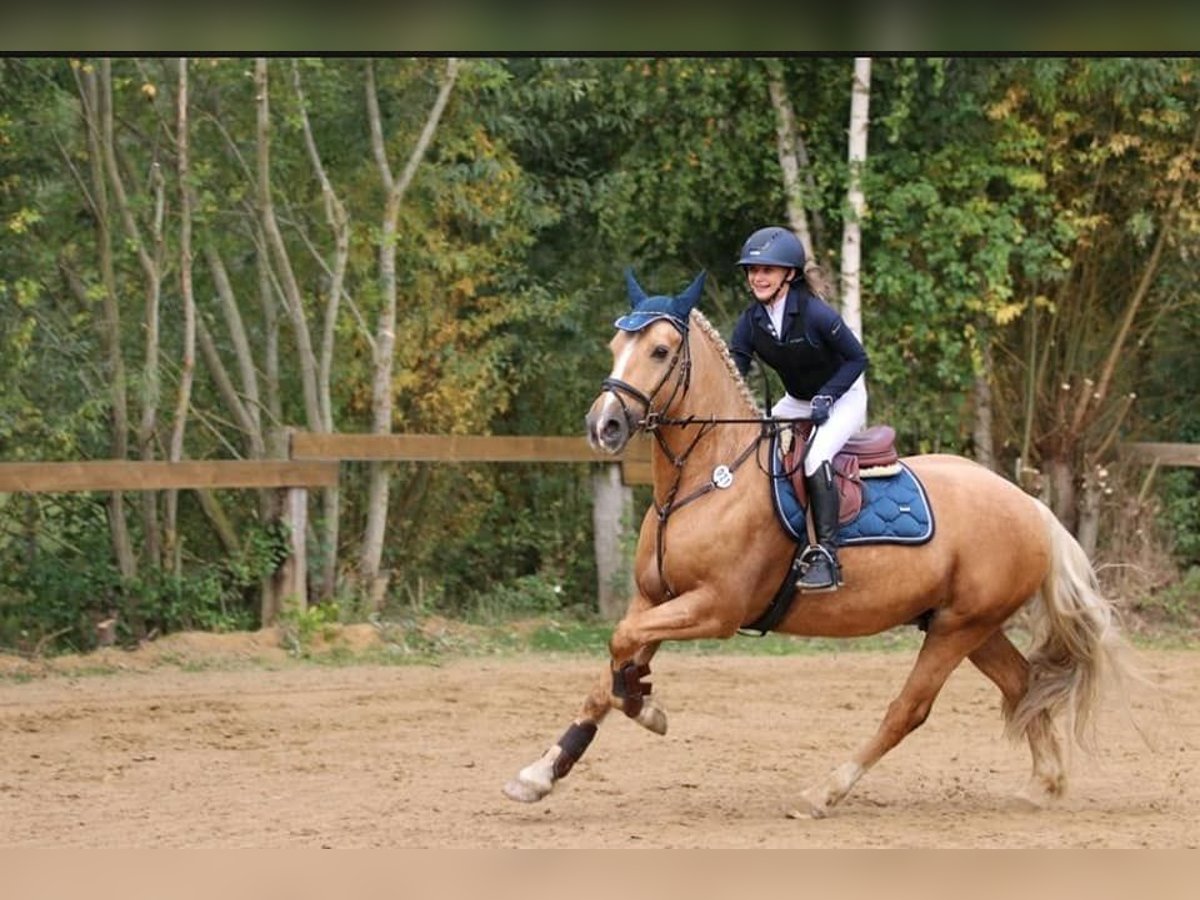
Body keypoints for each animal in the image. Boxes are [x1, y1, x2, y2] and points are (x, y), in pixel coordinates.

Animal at [499, 267, 1132, 816]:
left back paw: (822, 793)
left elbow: (620, 646)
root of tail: (1031, 507)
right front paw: (541, 773)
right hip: (968, 624)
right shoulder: (656, 599)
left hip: (957, 629)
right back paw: (1045, 784)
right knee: (1022, 685)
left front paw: (646, 707)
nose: (601, 426)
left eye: (658, 351)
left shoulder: (716, 608)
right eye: (614, 347)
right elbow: (610, 668)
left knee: (909, 709)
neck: (705, 477)